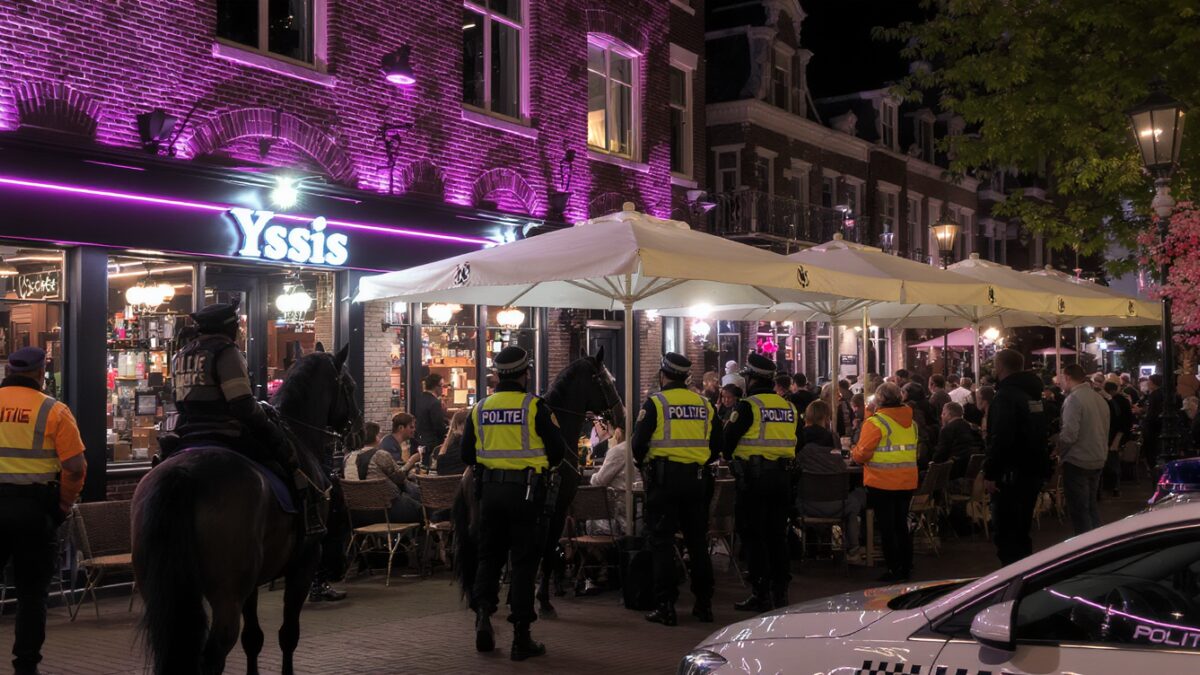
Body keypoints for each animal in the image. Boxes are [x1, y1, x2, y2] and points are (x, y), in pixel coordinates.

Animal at [132, 345, 361, 675]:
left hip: (161, 590)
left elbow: (253, 638)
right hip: (226, 593)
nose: (359, 429)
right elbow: (288, 634)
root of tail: (183, 474)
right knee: (212, 655)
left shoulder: (252, 580)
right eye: (351, 387)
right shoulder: (305, 561)